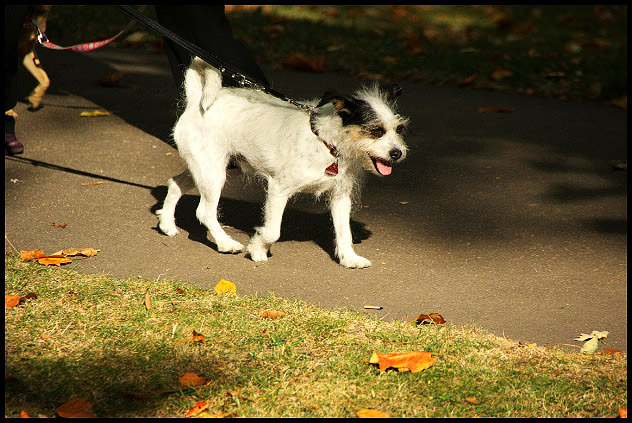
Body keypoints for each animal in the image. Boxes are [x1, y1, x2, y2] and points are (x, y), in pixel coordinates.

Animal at [156, 58, 408, 268]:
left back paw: (167, 223)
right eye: (376, 131)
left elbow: (344, 231)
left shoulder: (340, 197)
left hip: (205, 168)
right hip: (213, 174)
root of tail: (196, 102)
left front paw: (349, 258)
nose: (397, 153)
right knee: (205, 212)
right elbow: (272, 232)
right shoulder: (278, 190)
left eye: (399, 129)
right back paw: (226, 243)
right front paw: (257, 249)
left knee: (176, 183)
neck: (327, 142)